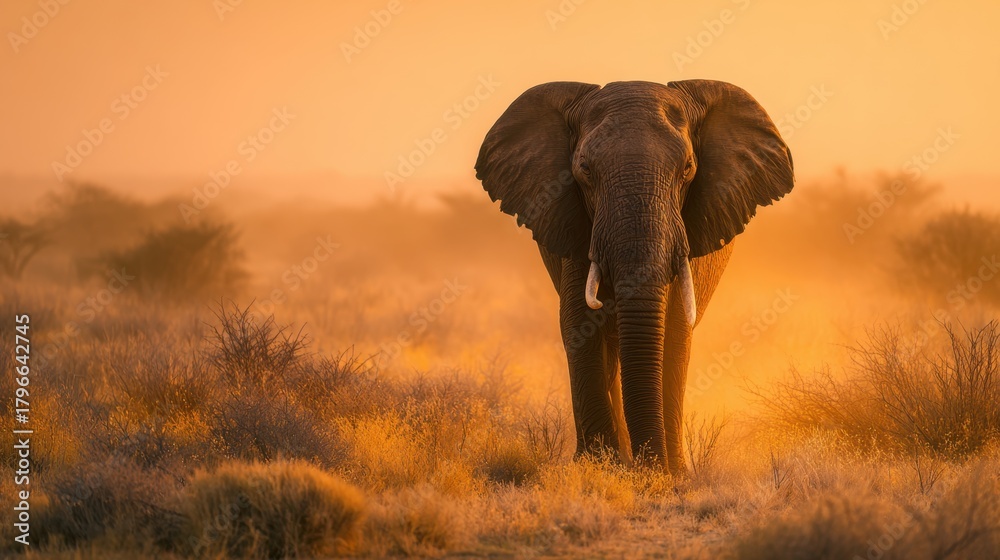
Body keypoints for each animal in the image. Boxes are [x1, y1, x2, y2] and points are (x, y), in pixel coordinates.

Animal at [475, 80, 794, 474]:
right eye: (584, 170)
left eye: (688, 168)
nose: (649, 467)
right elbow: (578, 323)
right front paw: (599, 469)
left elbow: (675, 332)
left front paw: (671, 475)